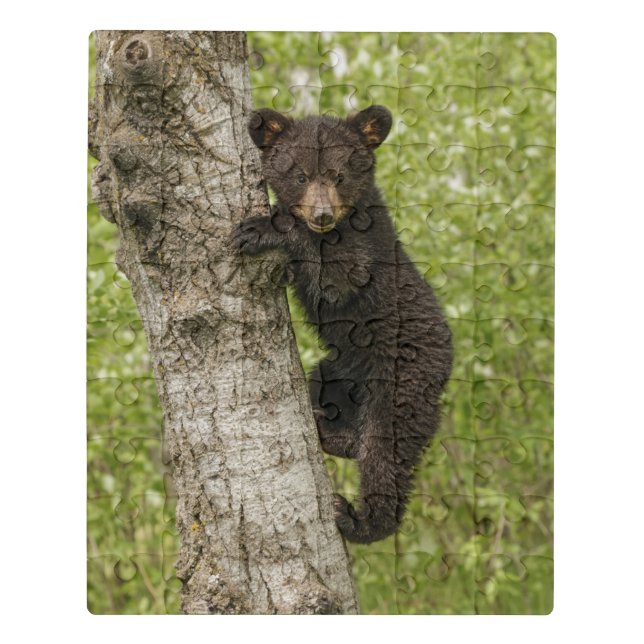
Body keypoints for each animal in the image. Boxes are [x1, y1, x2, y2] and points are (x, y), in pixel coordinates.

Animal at [233, 105, 453, 544]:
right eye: (300, 175)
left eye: (339, 175)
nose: (321, 214)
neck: (347, 220)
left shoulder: (365, 252)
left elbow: (337, 276)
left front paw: (262, 228)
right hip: (341, 369)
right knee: (332, 398)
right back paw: (328, 430)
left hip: (401, 385)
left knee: (385, 455)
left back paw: (359, 519)